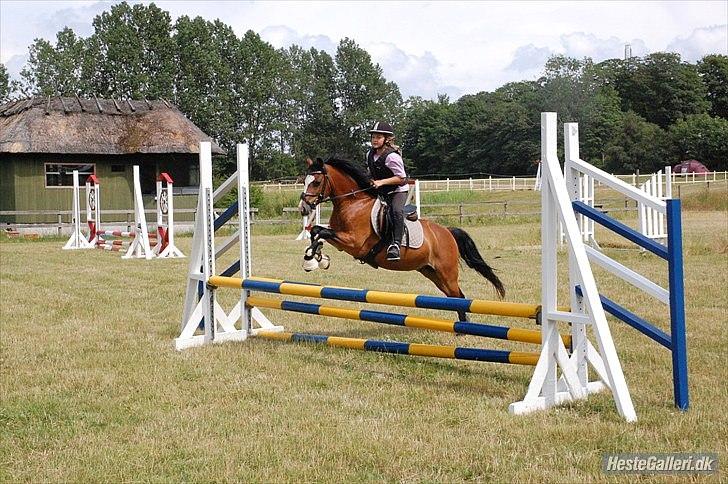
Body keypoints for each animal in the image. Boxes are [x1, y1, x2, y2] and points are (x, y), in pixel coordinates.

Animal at [298, 156, 505, 323]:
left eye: (316, 182)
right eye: (305, 181)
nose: (303, 208)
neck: (353, 203)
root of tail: (447, 232)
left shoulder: (354, 242)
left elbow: (321, 232)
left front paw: (310, 261)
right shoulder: (340, 240)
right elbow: (317, 231)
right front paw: (319, 258)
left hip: (446, 272)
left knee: (459, 297)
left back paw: (463, 328)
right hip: (432, 273)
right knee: (455, 297)